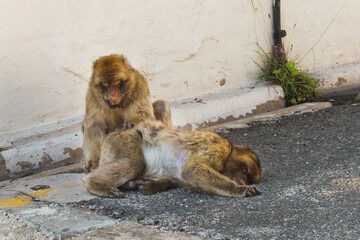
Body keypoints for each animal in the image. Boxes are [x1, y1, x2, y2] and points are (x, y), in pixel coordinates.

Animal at [82, 121, 260, 198]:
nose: (242, 181)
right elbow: (192, 170)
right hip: (123, 141)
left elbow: (181, 178)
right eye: (245, 170)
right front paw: (239, 189)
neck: (227, 155)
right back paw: (94, 184)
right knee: (133, 165)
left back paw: (129, 184)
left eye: (247, 176)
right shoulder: (215, 148)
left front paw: (154, 185)